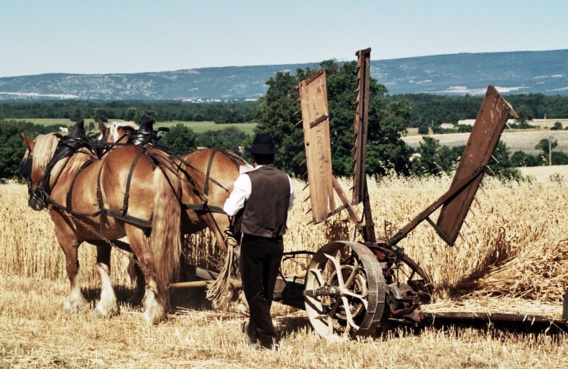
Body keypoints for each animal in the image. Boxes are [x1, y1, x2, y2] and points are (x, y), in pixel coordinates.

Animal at [21, 123, 181, 322]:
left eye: (27, 164)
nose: (33, 201)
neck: (66, 171)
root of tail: (154, 159)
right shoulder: (103, 237)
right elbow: (103, 267)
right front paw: (106, 306)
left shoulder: (64, 233)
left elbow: (72, 267)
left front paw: (74, 303)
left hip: (134, 228)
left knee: (147, 260)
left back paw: (153, 311)